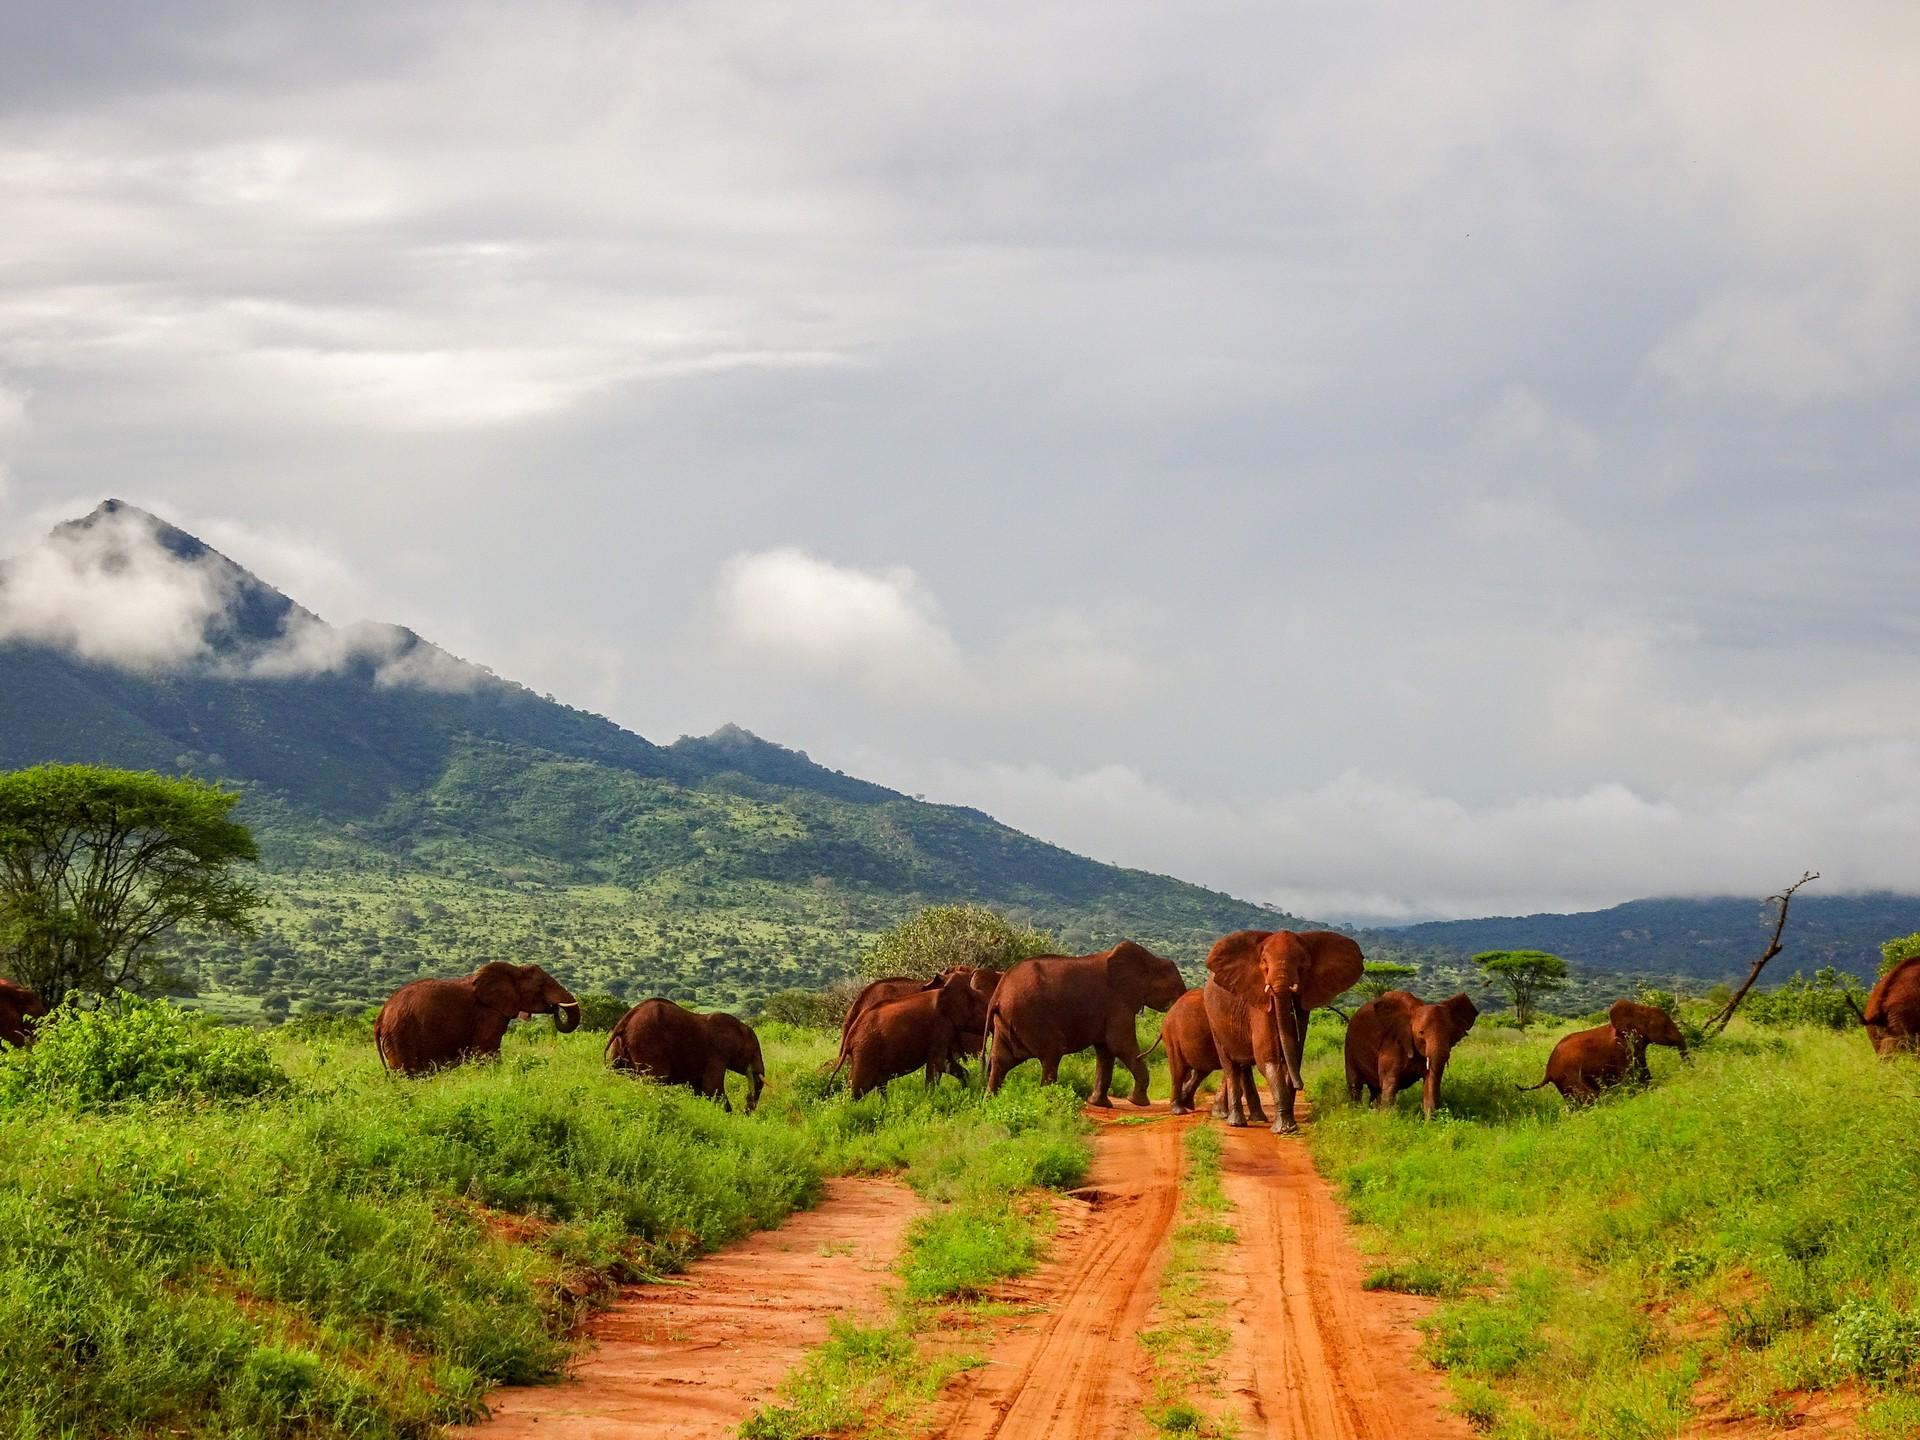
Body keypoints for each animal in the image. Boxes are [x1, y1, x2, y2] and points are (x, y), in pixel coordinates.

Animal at [610, 1006, 768, 1113]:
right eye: (754, 1052)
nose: (746, 1112)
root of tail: (625, 1021)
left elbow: (699, 1088)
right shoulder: (717, 1054)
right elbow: (712, 1088)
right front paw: (729, 1116)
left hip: (619, 1050)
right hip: (646, 1044)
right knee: (655, 1080)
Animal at [990, 940, 1182, 1113]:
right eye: (1174, 986)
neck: (1150, 960)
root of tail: (999, 994)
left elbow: (1106, 1051)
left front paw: (1099, 1104)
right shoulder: (1117, 1003)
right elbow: (1120, 1045)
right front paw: (1137, 1103)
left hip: (1006, 1022)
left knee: (1001, 1060)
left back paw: (990, 1101)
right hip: (1031, 1016)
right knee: (1052, 1054)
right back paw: (1048, 1102)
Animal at [1198, 936, 1367, 1136]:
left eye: (1303, 964)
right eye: (1264, 963)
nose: (1301, 1085)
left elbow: (1293, 1056)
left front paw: (1289, 1127)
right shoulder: (1259, 1000)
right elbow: (1268, 1059)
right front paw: (1284, 1129)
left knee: (1244, 1066)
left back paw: (1258, 1118)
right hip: (1213, 1019)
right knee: (1230, 1065)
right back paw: (1236, 1123)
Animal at [1344, 990, 1474, 1128]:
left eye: (1450, 1033)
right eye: (1421, 1033)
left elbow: (1431, 1082)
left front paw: (1430, 1126)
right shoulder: (1392, 1044)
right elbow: (1390, 1082)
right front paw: (1387, 1122)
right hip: (1349, 1045)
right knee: (1355, 1085)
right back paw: (1356, 1112)